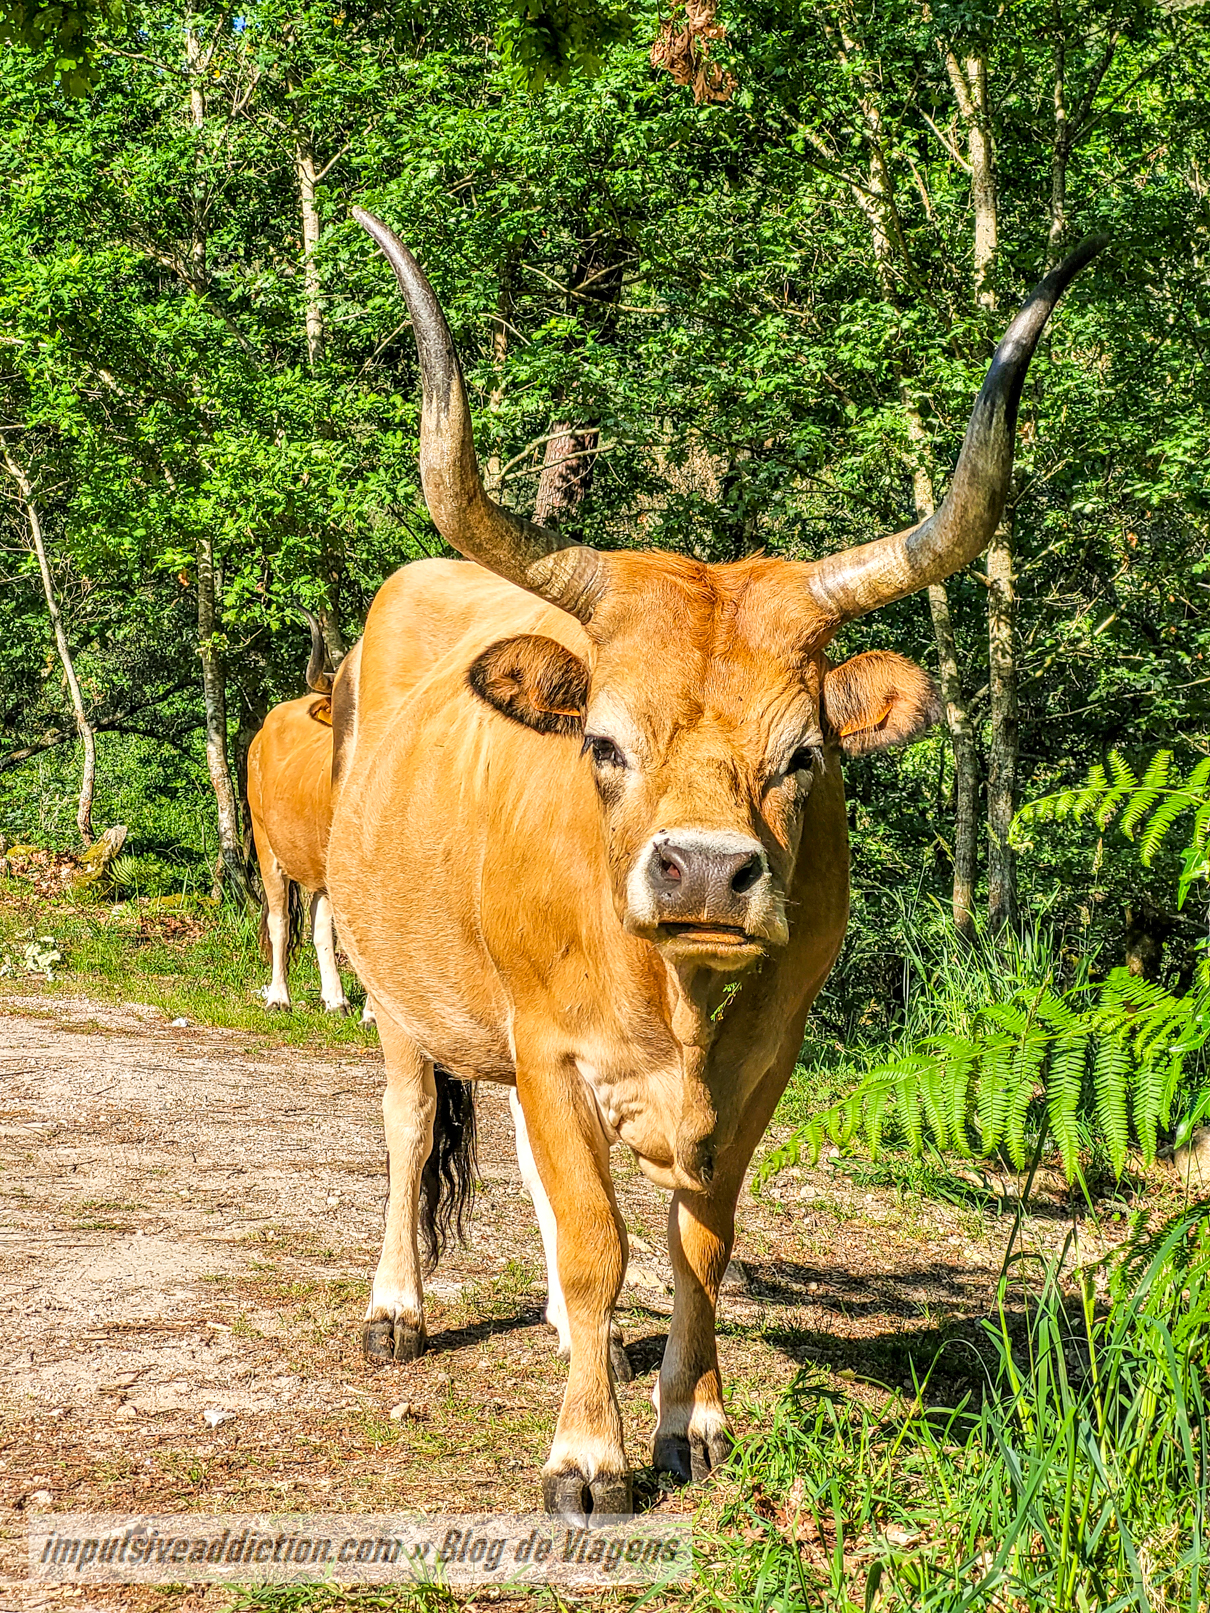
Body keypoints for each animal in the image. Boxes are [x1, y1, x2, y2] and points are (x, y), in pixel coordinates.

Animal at [326, 209, 1103, 1518]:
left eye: (804, 754)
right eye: (602, 741)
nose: (699, 871)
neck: (678, 1003)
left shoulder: (763, 1057)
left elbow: (698, 1238)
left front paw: (693, 1416)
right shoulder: (547, 1039)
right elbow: (599, 1237)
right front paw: (587, 1453)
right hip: (394, 990)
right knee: (407, 1124)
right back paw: (397, 1309)